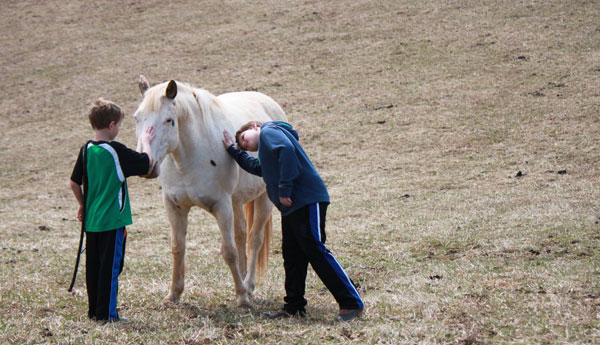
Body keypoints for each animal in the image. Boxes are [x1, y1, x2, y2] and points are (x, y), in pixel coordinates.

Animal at [136, 76, 286, 306]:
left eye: (169, 120)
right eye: (137, 118)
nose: (147, 162)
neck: (189, 157)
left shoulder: (221, 206)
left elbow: (229, 251)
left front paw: (242, 296)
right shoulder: (174, 206)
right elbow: (177, 247)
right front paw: (173, 295)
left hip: (263, 199)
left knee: (254, 239)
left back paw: (248, 285)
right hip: (237, 201)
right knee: (241, 234)